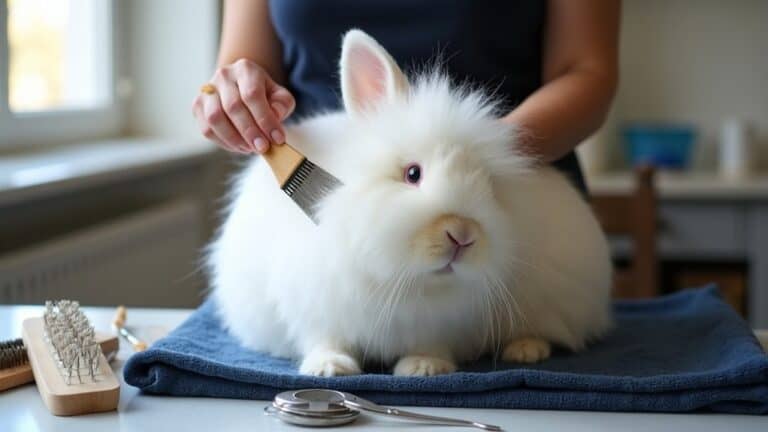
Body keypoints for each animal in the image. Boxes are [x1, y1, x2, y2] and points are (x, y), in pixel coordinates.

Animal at [208, 29, 613, 377]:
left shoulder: (441, 322)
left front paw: (424, 367)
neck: (413, 282)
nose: (462, 235)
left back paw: (526, 350)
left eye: (487, 184)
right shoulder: (316, 303)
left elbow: (430, 343)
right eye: (412, 174)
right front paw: (329, 367)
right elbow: (326, 337)